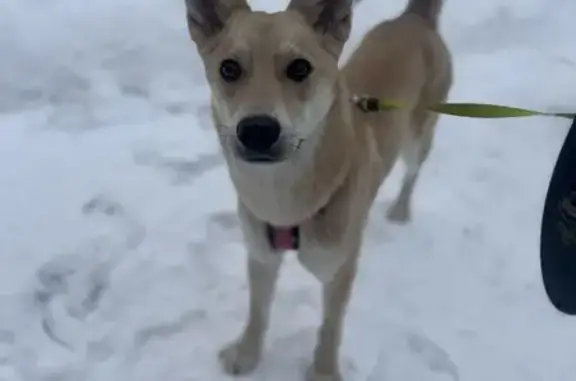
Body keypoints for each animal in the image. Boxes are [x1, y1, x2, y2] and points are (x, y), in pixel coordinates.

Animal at [182, 0, 452, 378]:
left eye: (300, 67)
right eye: (229, 68)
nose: (257, 131)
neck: (285, 200)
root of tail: (414, 17)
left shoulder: (338, 268)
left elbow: (330, 327)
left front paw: (323, 371)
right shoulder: (261, 255)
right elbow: (258, 311)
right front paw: (247, 355)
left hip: (418, 135)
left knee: (412, 173)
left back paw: (400, 211)